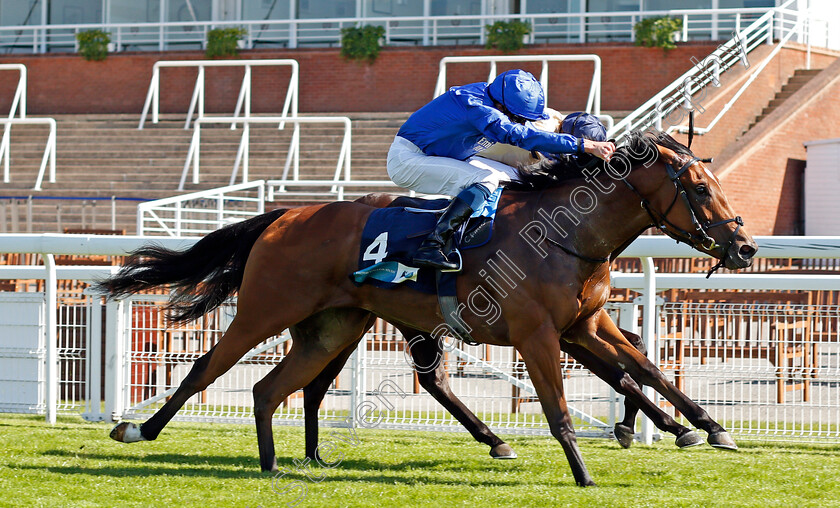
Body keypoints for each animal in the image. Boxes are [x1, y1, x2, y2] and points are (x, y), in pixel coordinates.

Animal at [98, 132, 756, 488]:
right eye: (700, 188)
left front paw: (706, 427)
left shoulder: (584, 324)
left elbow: (644, 369)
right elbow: (562, 408)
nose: (744, 247)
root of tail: (284, 215)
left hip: (334, 327)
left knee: (275, 388)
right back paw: (139, 428)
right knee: (207, 366)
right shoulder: (538, 334)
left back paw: (279, 464)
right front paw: (584, 472)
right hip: (266, 310)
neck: (565, 234)